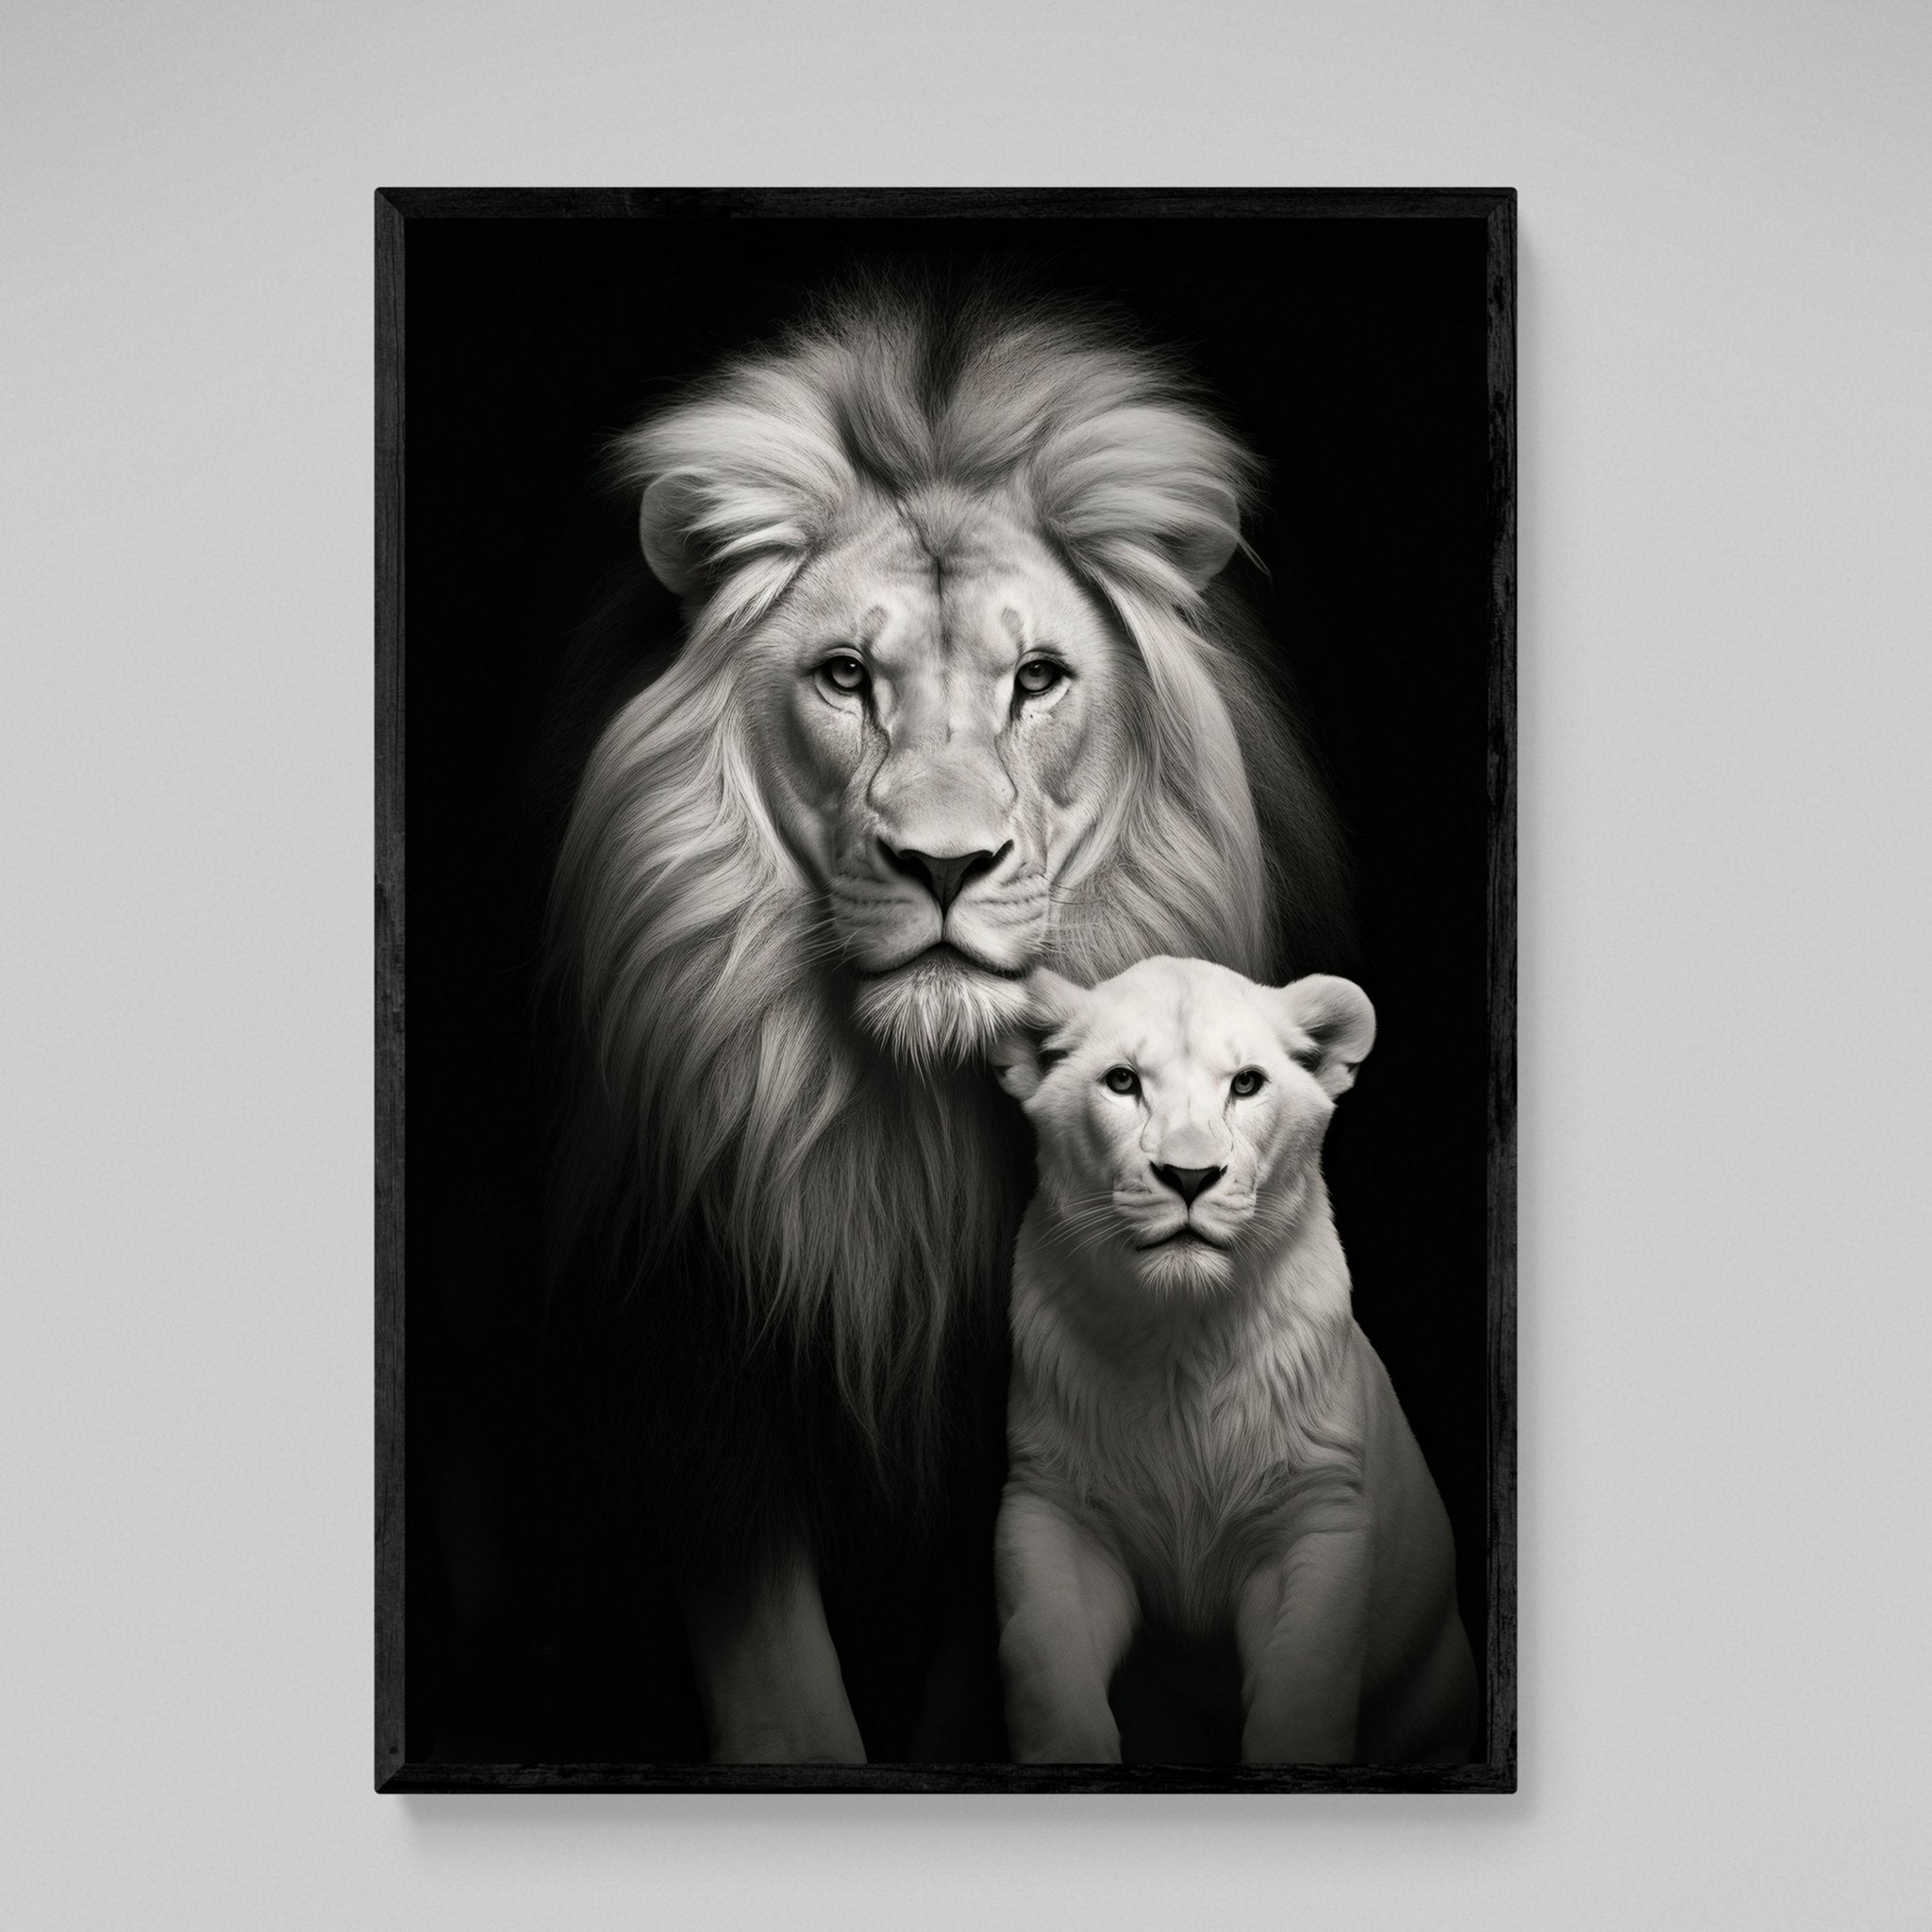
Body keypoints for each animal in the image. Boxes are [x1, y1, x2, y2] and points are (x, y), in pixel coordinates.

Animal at [548, 282, 1351, 1762]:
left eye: (1035, 678)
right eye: (844, 676)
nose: (943, 865)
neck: (905, 1141)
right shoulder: (703, 1396)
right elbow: (785, 1702)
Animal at [990, 956, 1476, 1764]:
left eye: (1246, 1083)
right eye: (1122, 1081)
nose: (1189, 1177)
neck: (1180, 1345)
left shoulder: (1312, 1519)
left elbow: (1301, 1704)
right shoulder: (1054, 1509)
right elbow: (1047, 1678)